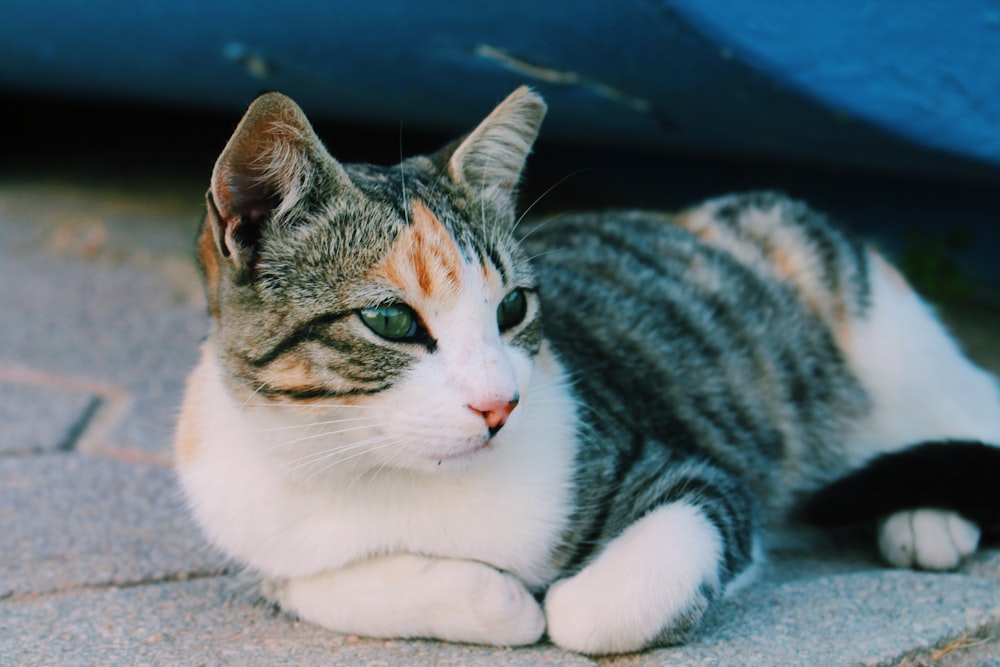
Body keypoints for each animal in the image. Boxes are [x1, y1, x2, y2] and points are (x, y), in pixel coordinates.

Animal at [176, 86, 1000, 656]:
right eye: (391, 321)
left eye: (512, 307)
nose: (500, 405)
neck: (380, 473)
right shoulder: (261, 533)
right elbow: (313, 585)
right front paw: (497, 599)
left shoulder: (698, 474)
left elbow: (595, 610)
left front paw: (558, 602)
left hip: (888, 339)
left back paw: (927, 513)